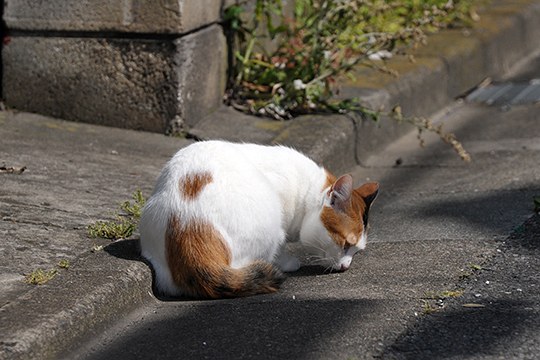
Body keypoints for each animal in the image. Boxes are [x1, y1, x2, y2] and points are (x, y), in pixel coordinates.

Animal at [139, 141, 378, 298]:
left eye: (357, 251)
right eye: (345, 244)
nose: (346, 266)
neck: (307, 190)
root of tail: (188, 223)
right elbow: (281, 246)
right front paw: (288, 261)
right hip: (269, 216)